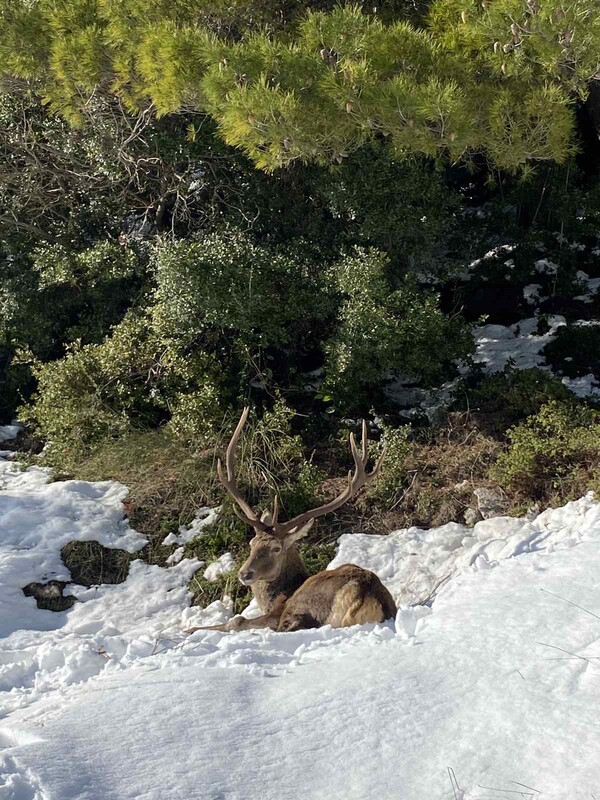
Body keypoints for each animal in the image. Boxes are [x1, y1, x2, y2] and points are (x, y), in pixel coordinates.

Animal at [185, 410, 396, 636]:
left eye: (276, 548)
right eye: (252, 544)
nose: (244, 573)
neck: (279, 596)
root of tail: (365, 594)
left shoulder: (277, 612)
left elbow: (237, 620)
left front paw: (190, 629)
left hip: (306, 604)